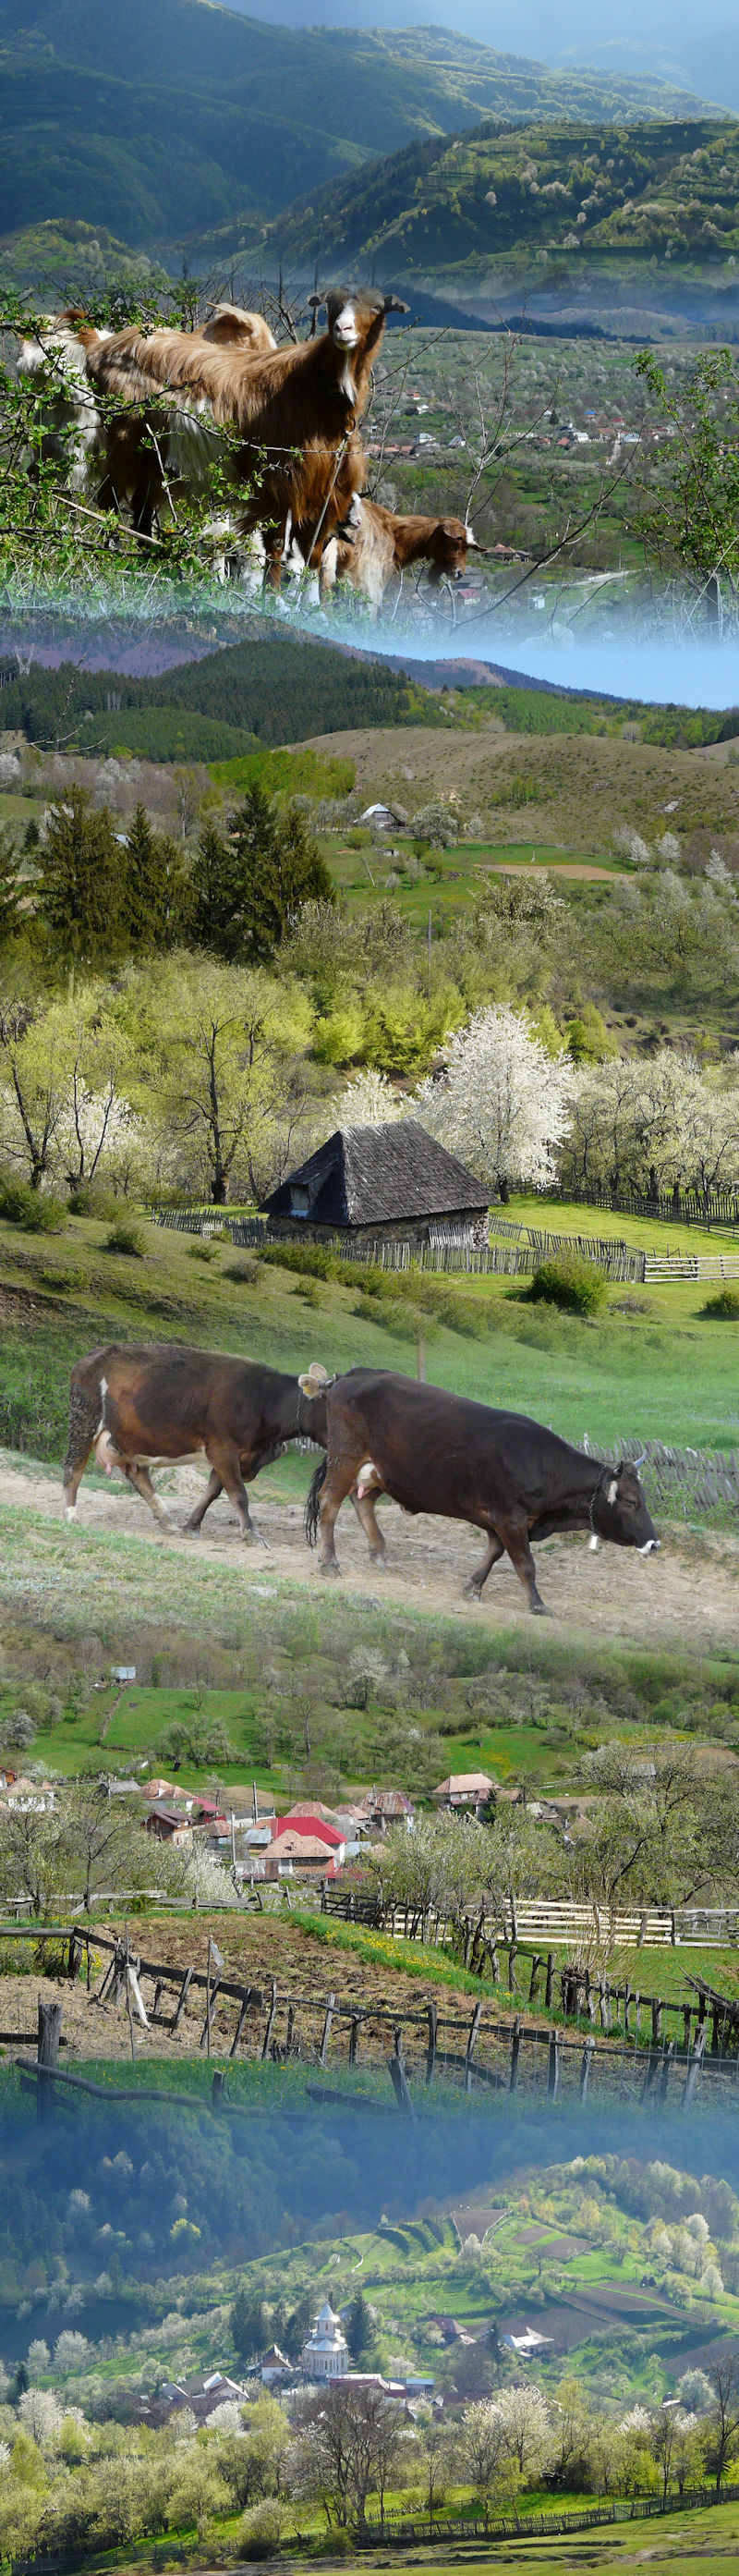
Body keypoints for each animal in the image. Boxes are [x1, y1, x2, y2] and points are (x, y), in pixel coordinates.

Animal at [64, 1360, 332, 1535]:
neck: (264, 1398)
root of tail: (93, 1358)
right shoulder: (222, 1448)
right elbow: (239, 1494)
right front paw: (251, 1534)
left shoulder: (233, 1455)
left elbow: (213, 1491)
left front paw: (191, 1525)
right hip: (84, 1421)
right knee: (73, 1468)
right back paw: (70, 1514)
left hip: (128, 1440)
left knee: (139, 1477)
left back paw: (166, 1519)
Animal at [305, 1370, 659, 1607]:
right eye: (631, 1502)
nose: (654, 1543)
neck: (538, 1462)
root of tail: (353, 1374)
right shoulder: (510, 1518)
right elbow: (526, 1565)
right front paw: (538, 1604)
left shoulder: (503, 1521)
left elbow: (494, 1553)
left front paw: (473, 1587)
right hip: (346, 1457)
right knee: (330, 1503)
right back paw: (329, 1562)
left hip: (379, 1471)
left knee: (362, 1502)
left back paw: (378, 1553)